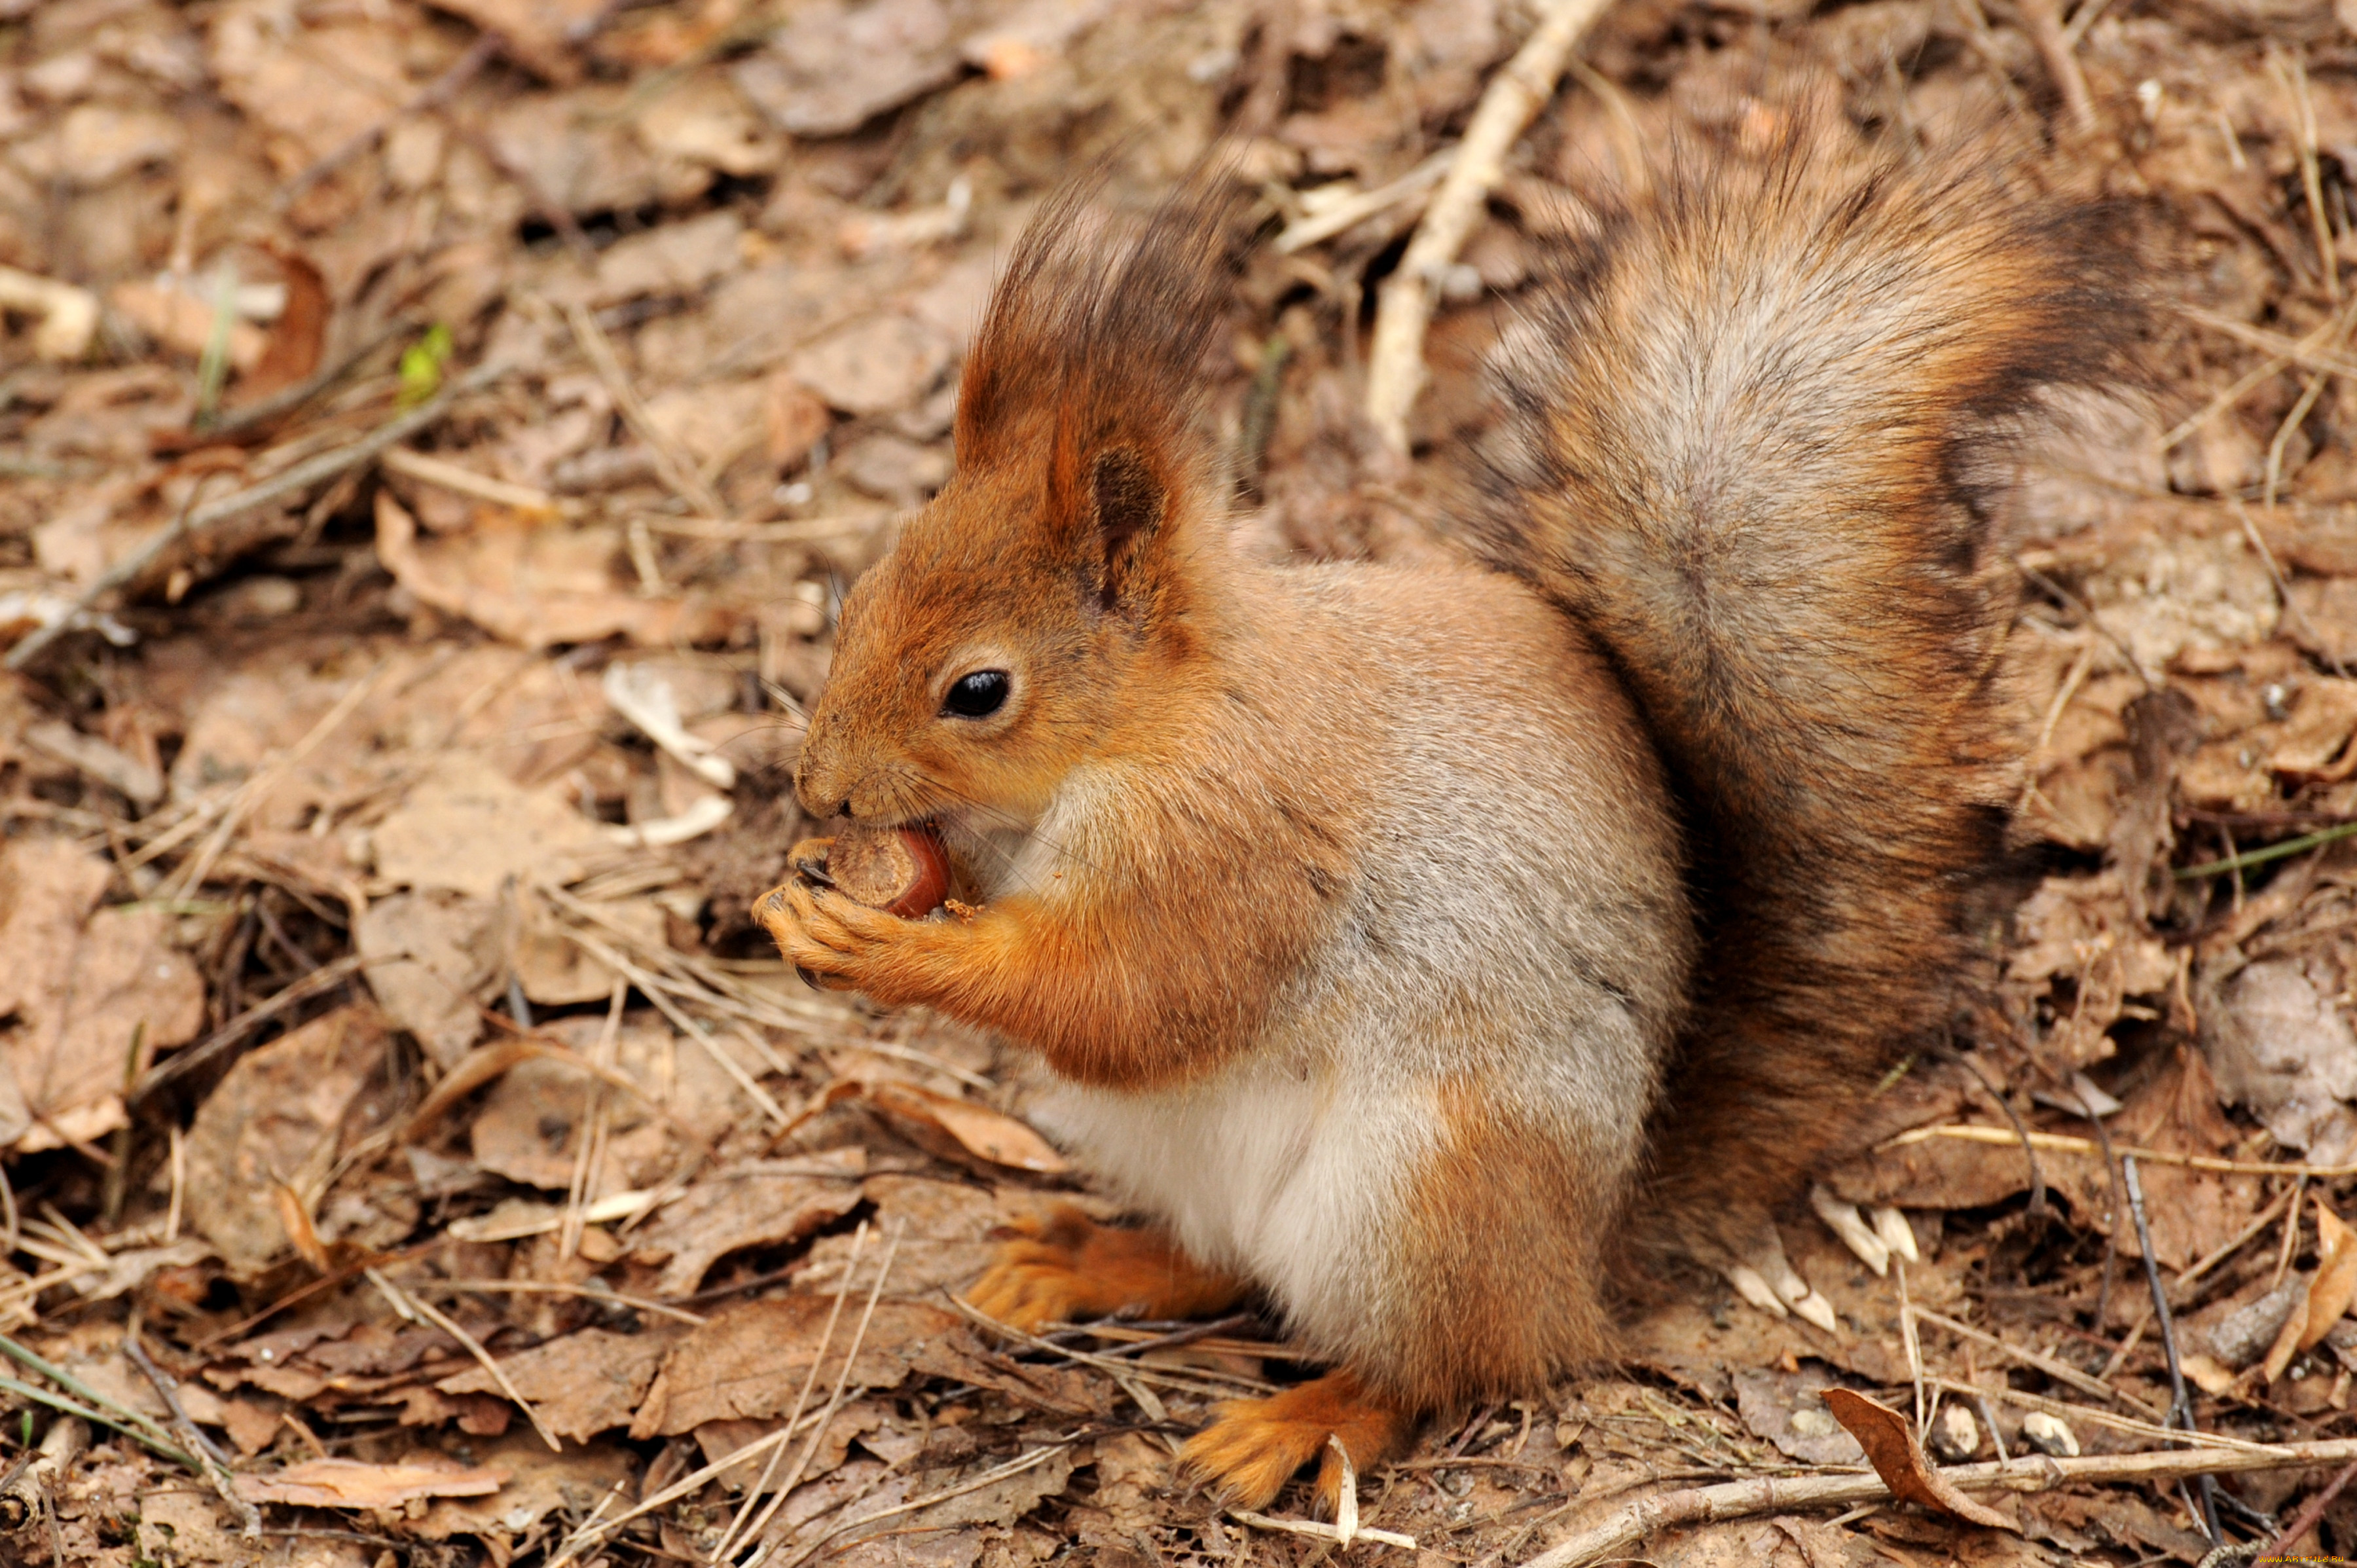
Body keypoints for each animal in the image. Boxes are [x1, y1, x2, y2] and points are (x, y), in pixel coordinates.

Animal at [759, 116, 2140, 1508]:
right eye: (857, 595)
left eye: (978, 691)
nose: (818, 787)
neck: (1136, 735)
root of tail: (1580, 1267)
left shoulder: (1237, 843)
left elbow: (1136, 997)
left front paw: (889, 947)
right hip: (1188, 1160)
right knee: (1228, 1263)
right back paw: (1093, 1263)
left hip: (1422, 1195)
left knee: (1445, 1368)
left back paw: (1305, 1421)